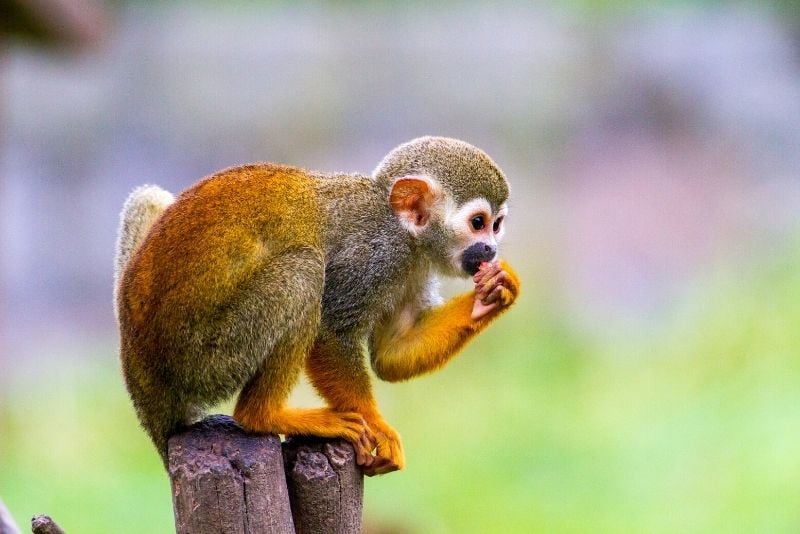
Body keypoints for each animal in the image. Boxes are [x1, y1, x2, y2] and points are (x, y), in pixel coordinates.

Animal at [115, 135, 520, 478]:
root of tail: (142, 380)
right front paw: (376, 425)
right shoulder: (374, 256)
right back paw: (264, 415)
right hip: (205, 359)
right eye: (478, 223)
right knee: (304, 270)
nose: (490, 249)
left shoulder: (414, 268)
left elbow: (391, 355)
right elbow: (330, 334)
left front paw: (492, 295)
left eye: (497, 225)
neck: (405, 232)